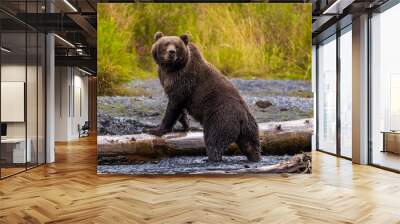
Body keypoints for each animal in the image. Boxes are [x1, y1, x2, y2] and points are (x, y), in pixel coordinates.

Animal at [148, 31, 260, 162]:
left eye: (176, 45)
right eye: (165, 44)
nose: (171, 52)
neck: (171, 68)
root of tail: (242, 118)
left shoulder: (184, 82)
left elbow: (173, 106)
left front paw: (155, 130)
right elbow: (178, 108)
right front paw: (185, 124)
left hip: (220, 117)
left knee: (214, 139)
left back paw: (210, 158)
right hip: (249, 128)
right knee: (251, 144)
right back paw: (255, 156)